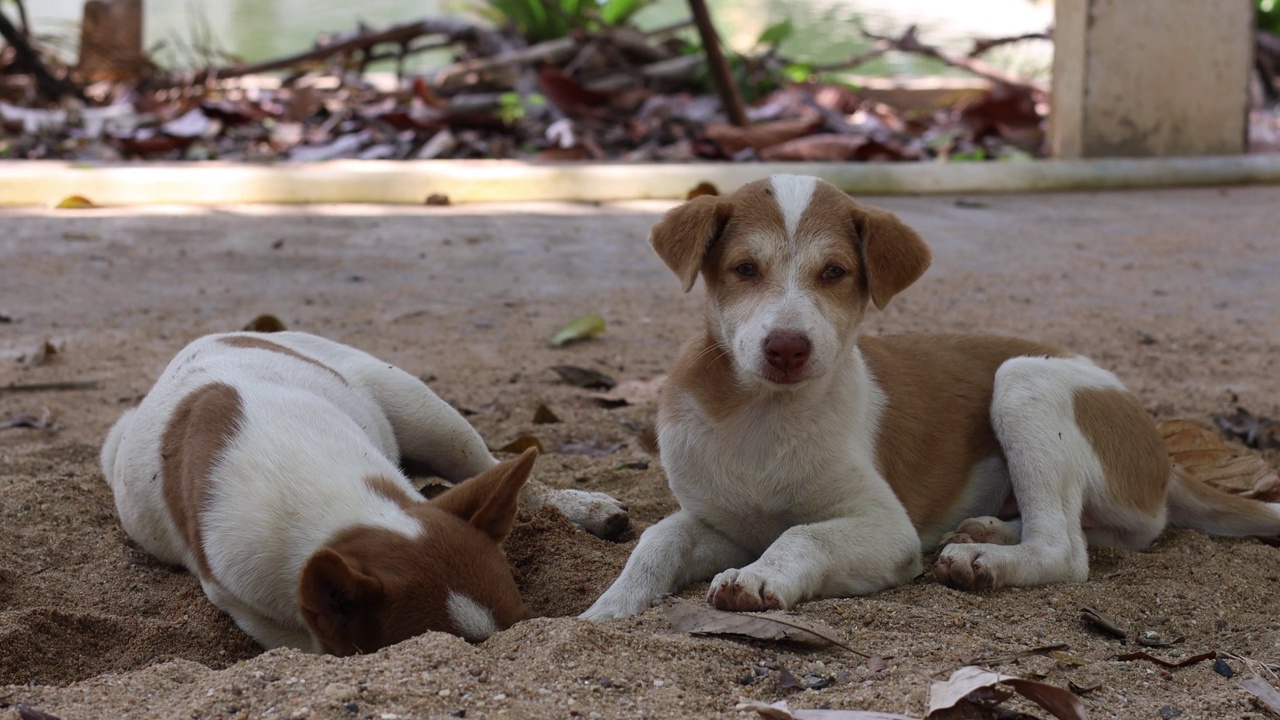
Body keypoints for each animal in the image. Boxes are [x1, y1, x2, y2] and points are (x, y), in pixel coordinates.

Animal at [101, 330, 619, 650]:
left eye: (526, 624)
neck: (335, 501)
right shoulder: (242, 600)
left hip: (425, 414)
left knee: (488, 465)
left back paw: (585, 508)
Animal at [581, 174, 1280, 617]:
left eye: (834, 273)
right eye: (744, 269)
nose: (786, 349)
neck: (760, 417)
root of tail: (1159, 443)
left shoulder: (884, 527)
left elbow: (802, 535)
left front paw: (758, 579)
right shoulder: (721, 522)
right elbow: (657, 540)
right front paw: (605, 612)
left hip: (1023, 382)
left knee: (1067, 550)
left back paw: (987, 559)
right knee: (1101, 531)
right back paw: (991, 529)